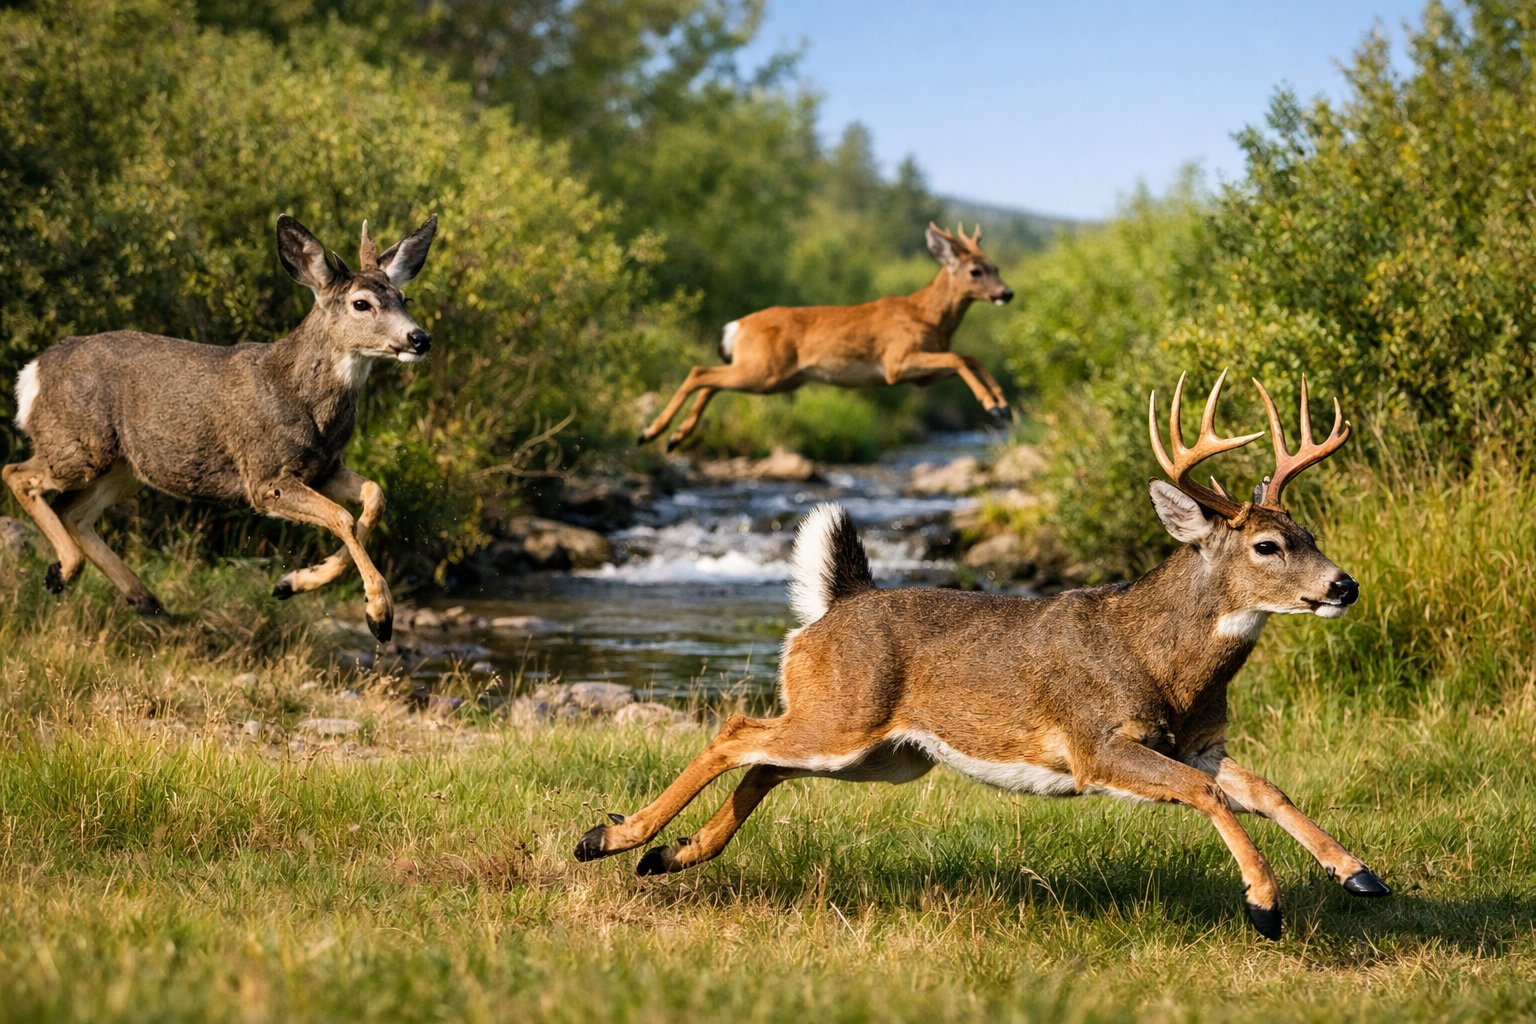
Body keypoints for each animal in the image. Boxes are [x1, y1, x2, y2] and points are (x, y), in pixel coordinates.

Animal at [4, 213, 438, 644]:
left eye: (404, 298)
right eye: (361, 303)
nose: (419, 338)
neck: (300, 397)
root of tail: (32, 373)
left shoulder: (324, 467)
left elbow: (374, 495)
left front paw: (291, 583)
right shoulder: (264, 476)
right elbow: (343, 517)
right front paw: (379, 615)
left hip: (124, 467)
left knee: (73, 511)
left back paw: (139, 596)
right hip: (79, 447)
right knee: (17, 474)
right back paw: (66, 569)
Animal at [578, 370, 1392, 940]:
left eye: (1312, 533)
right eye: (1268, 545)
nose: (1344, 584)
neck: (1164, 662)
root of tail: (831, 609)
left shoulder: (1197, 741)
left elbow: (1267, 789)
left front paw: (1360, 875)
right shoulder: (1096, 742)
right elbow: (1210, 795)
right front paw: (1264, 904)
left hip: (883, 754)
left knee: (766, 766)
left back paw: (670, 855)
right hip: (843, 717)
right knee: (735, 733)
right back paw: (611, 837)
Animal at [637, 223, 1015, 450]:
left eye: (997, 267)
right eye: (975, 271)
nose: (1007, 293)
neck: (929, 316)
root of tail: (737, 326)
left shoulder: (919, 376)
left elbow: (969, 357)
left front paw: (1003, 406)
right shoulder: (896, 361)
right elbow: (959, 357)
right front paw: (992, 405)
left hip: (773, 378)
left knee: (710, 382)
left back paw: (674, 438)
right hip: (764, 370)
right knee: (699, 372)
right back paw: (649, 432)